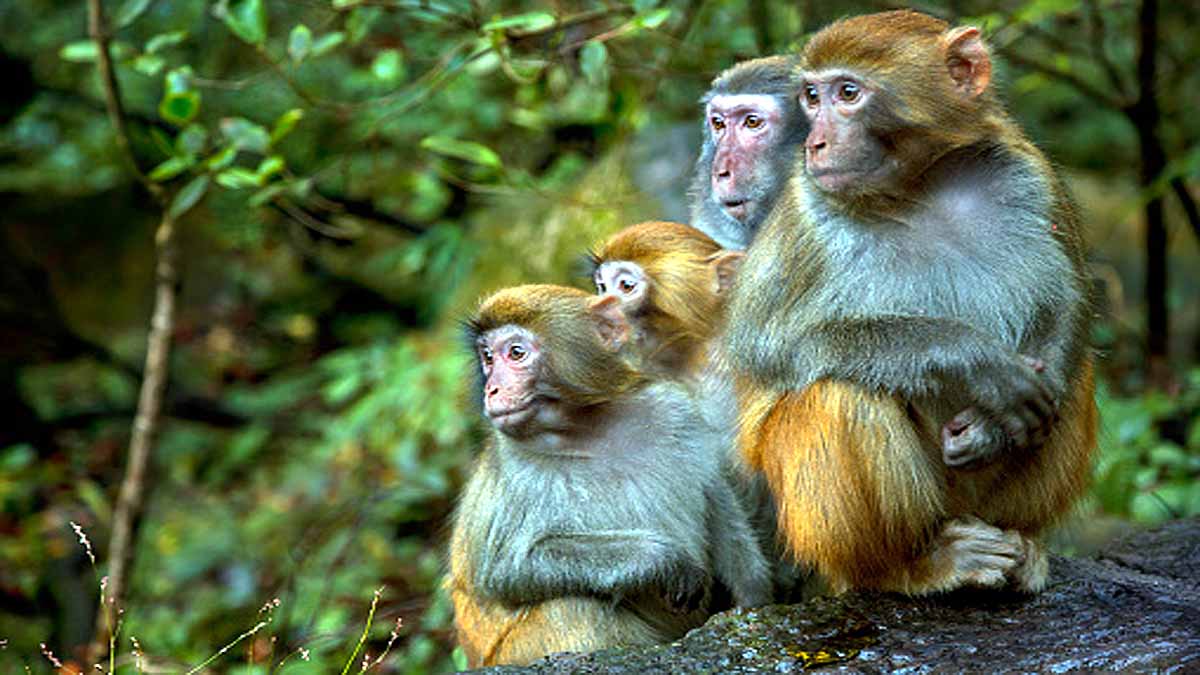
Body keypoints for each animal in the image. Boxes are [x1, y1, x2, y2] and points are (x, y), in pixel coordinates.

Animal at [448, 285, 770, 667]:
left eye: (515, 353)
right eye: (488, 358)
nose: (492, 389)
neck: (589, 428)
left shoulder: (674, 410)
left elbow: (715, 497)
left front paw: (754, 599)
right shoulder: (514, 466)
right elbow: (506, 570)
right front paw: (660, 559)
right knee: (574, 610)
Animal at [722, 10, 1098, 596]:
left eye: (847, 93)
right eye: (812, 96)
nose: (816, 144)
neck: (920, 186)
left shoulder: (1027, 171)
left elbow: (1068, 300)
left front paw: (993, 425)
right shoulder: (805, 211)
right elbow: (771, 347)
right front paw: (973, 359)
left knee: (1072, 379)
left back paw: (1023, 542)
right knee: (841, 390)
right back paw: (909, 566)